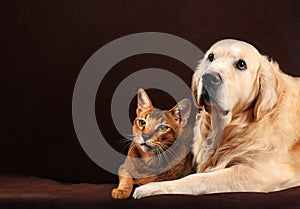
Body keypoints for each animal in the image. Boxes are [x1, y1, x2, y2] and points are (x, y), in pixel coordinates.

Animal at [133, 38, 300, 198]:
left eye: (241, 64)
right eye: (211, 57)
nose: (209, 77)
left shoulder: (261, 172)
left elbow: (197, 179)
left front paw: (151, 187)